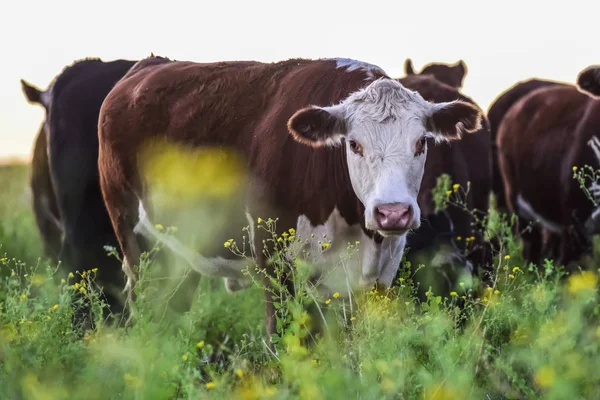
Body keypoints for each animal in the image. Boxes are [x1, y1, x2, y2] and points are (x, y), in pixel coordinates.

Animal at [99, 54, 482, 340]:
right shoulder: (275, 263)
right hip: (135, 240)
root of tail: (143, 67)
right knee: (143, 306)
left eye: (422, 142)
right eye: (354, 144)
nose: (392, 212)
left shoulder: (379, 274)